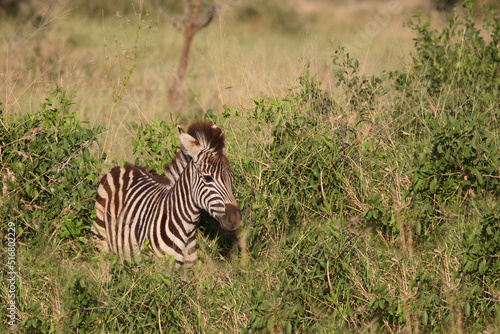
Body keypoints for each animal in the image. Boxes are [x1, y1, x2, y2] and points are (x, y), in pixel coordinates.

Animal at [92, 121, 244, 268]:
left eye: (232, 179)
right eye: (208, 178)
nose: (235, 218)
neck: (187, 229)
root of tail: (122, 167)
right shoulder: (159, 270)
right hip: (100, 242)